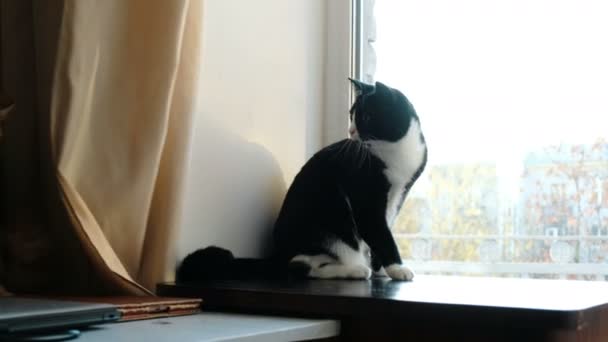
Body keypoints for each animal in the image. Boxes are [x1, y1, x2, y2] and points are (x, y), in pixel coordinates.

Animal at [176, 79, 428, 280]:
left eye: (366, 116)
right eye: (352, 115)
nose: (351, 131)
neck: (393, 150)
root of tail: (276, 255)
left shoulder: (397, 197)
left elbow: (385, 229)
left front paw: (382, 269)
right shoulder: (365, 198)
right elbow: (380, 233)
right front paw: (397, 269)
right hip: (330, 232)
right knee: (301, 267)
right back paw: (355, 270)